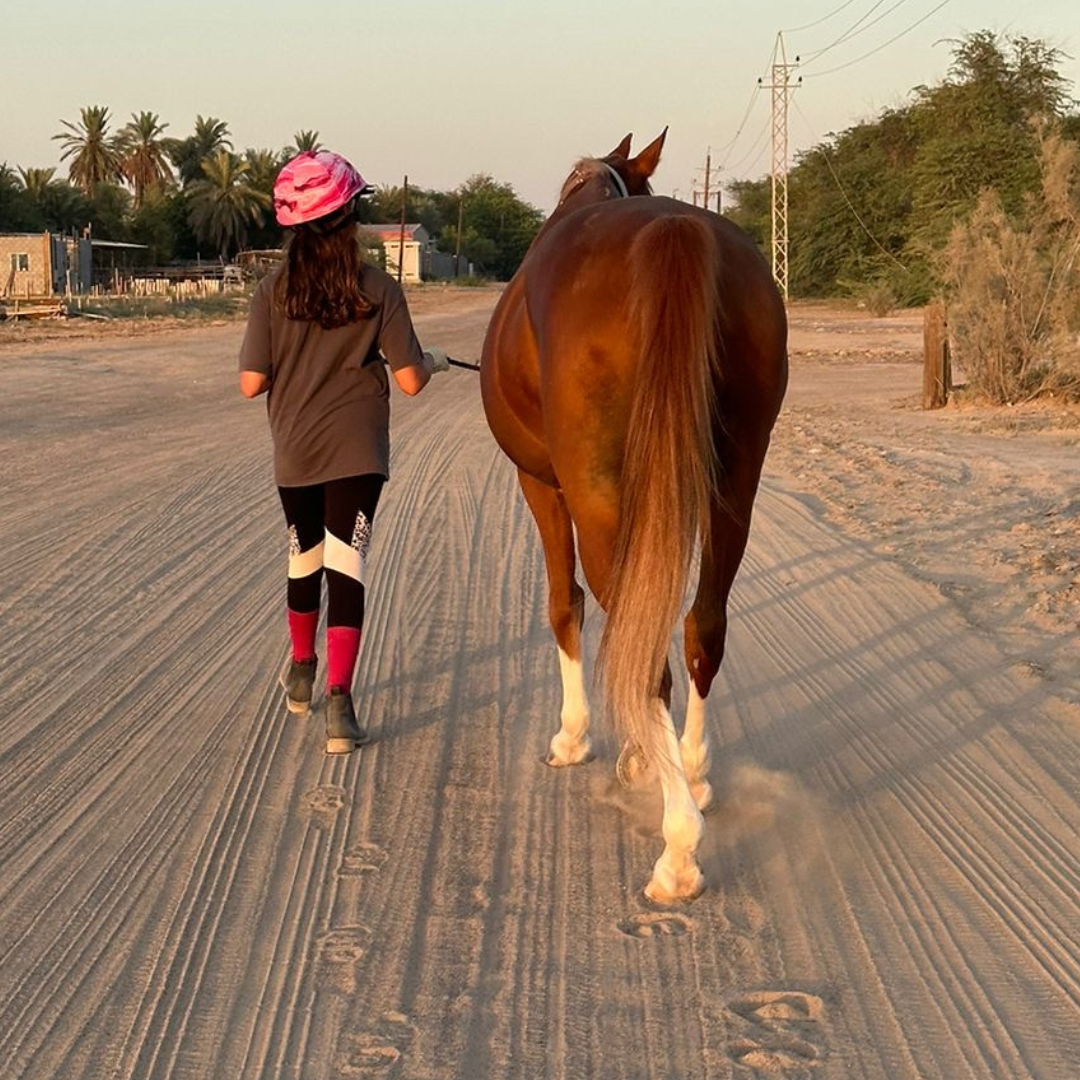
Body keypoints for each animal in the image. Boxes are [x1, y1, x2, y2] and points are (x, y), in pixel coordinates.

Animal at [480, 131, 788, 903]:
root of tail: (673, 230)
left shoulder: (542, 484)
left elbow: (565, 605)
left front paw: (576, 738)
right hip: (734, 483)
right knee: (702, 628)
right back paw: (694, 775)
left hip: (596, 495)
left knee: (644, 650)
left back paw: (676, 846)